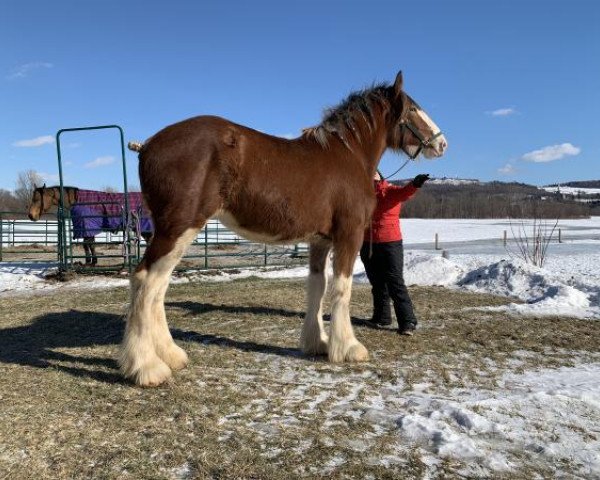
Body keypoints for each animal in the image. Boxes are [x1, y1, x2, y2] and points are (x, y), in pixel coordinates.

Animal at [123, 70, 446, 386]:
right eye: (413, 108)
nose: (441, 143)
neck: (348, 155)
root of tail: (149, 145)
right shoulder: (349, 234)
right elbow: (342, 287)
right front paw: (348, 348)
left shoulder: (320, 241)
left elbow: (318, 286)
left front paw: (318, 343)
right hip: (179, 227)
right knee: (145, 280)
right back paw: (147, 367)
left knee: (158, 286)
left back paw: (171, 355)